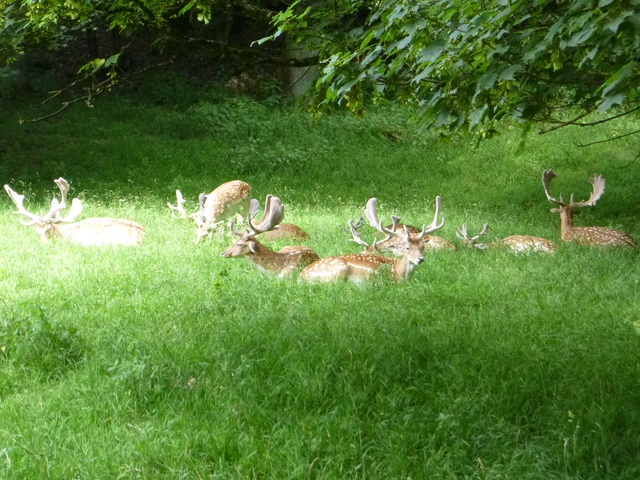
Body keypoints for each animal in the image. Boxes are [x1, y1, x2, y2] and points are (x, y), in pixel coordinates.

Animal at [298, 197, 442, 284]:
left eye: (422, 247)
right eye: (407, 248)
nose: (420, 259)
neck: (398, 272)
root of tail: (302, 276)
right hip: (338, 271)